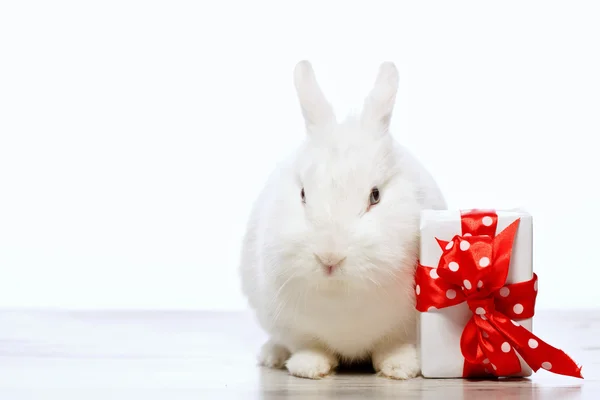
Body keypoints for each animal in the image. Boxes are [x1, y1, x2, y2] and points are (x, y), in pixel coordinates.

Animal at [239, 59, 446, 378]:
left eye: (375, 196)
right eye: (303, 194)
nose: (329, 258)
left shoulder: (405, 327)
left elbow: (393, 345)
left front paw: (400, 367)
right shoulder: (293, 326)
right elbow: (309, 345)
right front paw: (309, 367)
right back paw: (272, 355)